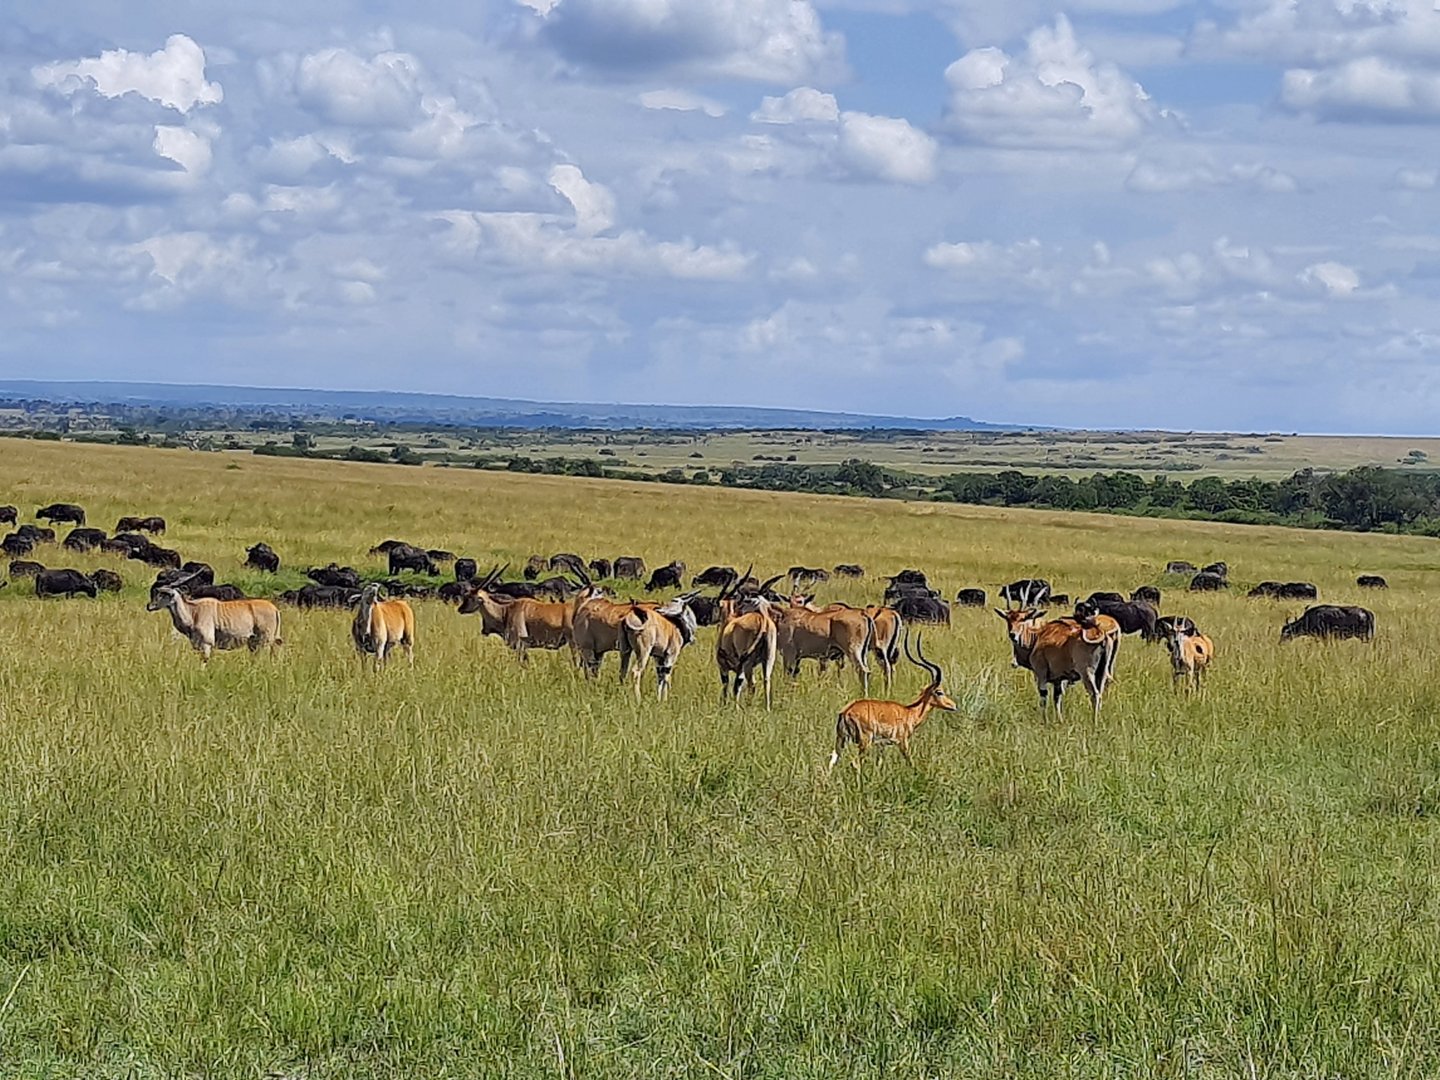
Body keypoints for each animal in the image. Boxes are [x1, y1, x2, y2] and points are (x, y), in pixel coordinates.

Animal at [146, 576, 282, 663]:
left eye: (163, 594)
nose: (149, 606)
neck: (193, 612)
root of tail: (275, 609)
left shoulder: (206, 644)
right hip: (254, 643)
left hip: (264, 642)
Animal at [829, 632, 956, 771]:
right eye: (939, 692)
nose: (953, 706)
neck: (909, 712)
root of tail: (846, 712)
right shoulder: (902, 742)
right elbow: (910, 762)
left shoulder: (881, 746)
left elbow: (879, 763)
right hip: (864, 742)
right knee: (855, 763)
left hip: (841, 740)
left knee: (833, 761)